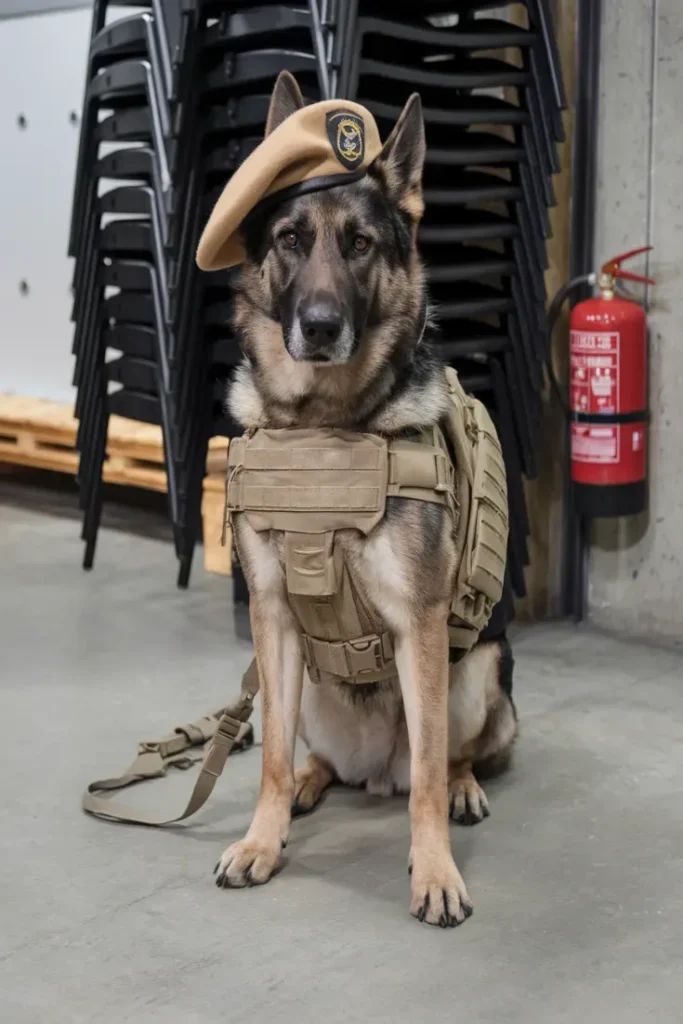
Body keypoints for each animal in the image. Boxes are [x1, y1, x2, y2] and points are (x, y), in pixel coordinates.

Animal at [215, 74, 518, 929]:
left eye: (359, 245)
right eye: (290, 239)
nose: (318, 328)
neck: (326, 424)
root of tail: (373, 769)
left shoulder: (419, 624)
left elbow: (426, 782)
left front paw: (434, 872)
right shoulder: (273, 618)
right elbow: (269, 758)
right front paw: (262, 839)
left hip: (476, 671)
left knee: (439, 758)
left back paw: (462, 786)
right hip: (303, 688)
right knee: (309, 751)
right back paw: (311, 785)